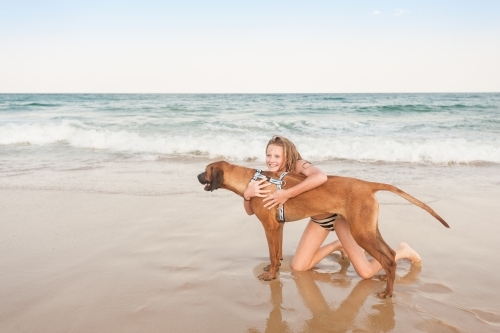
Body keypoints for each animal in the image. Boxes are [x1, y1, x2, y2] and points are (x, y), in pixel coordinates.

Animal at [196, 160, 450, 296]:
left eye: (206, 170)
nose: (196, 176)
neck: (253, 181)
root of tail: (368, 185)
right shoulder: (278, 227)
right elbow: (277, 253)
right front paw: (273, 268)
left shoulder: (269, 226)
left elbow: (272, 252)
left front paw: (271, 274)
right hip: (369, 229)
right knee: (391, 254)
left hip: (361, 233)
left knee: (387, 259)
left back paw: (388, 292)